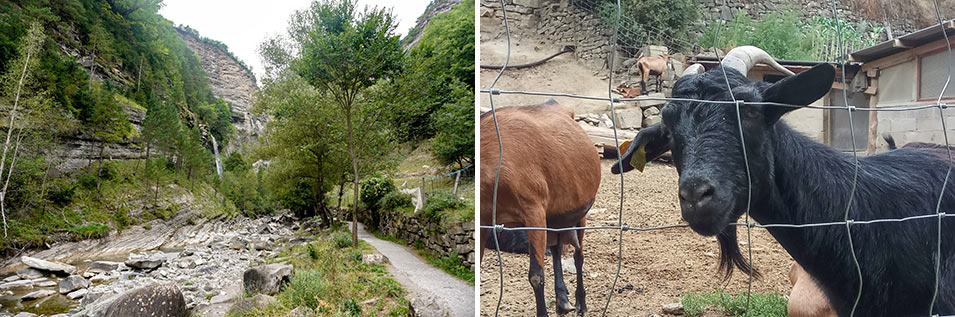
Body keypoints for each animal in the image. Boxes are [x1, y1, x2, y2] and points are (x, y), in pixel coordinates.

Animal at [482, 101, 600, 316]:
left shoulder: (533, 210)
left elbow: (536, 276)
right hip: (555, 217)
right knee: (556, 249)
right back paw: (562, 301)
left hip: (579, 214)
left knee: (578, 256)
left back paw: (580, 303)